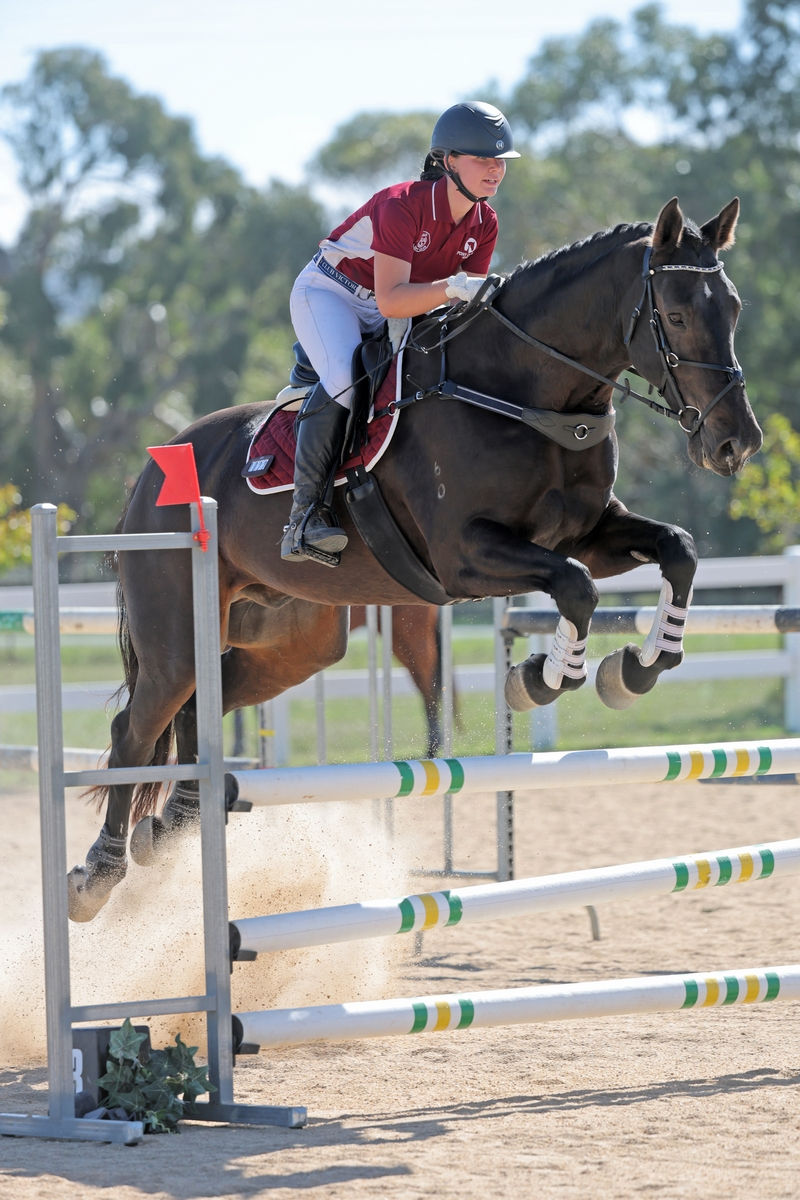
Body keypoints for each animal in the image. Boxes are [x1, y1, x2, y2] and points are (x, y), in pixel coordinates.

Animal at [67, 197, 762, 921]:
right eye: (676, 315)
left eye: (734, 309)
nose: (735, 443)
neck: (525, 391)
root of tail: (153, 468)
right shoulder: (466, 556)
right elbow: (575, 590)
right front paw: (541, 679)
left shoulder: (588, 535)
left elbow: (677, 551)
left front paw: (639, 667)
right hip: (175, 636)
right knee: (136, 727)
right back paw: (98, 874)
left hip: (294, 639)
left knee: (205, 701)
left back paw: (170, 828)